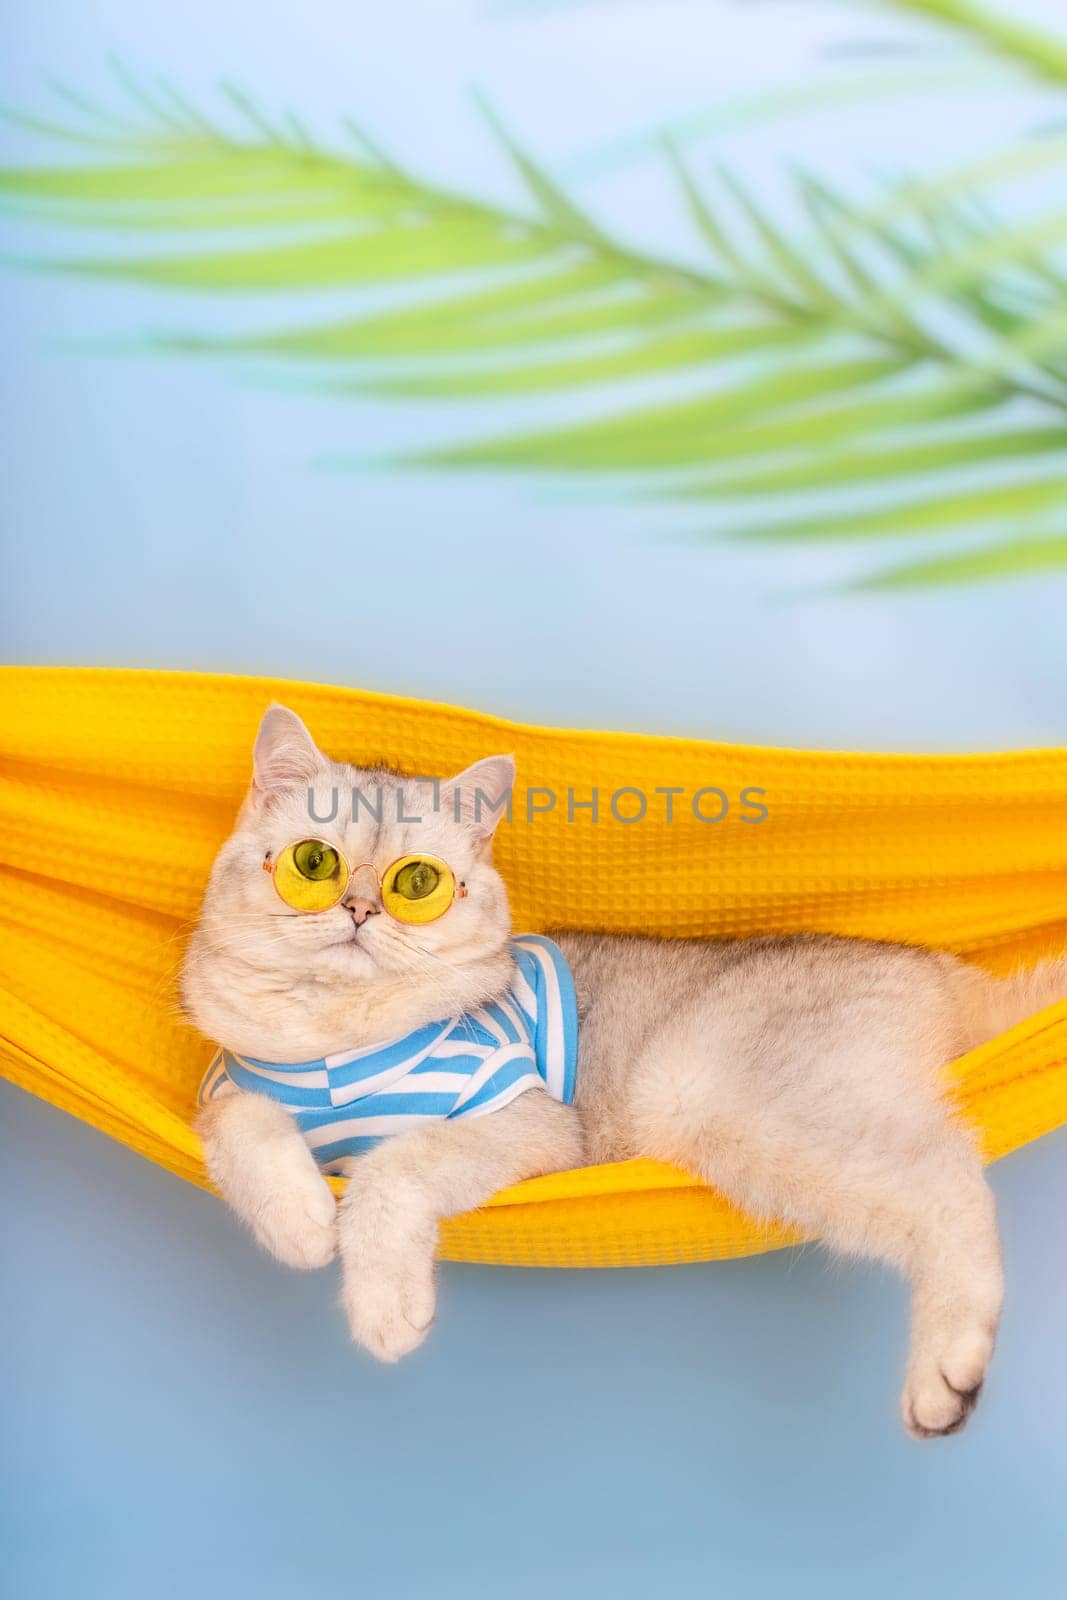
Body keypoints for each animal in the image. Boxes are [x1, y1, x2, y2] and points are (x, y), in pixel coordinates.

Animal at [183, 707, 1067, 1446]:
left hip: (720, 1097)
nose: (360, 910)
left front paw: (383, 1307)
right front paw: (299, 1221)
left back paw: (945, 1376)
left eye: (417, 883)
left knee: (948, 1181)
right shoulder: (227, 1086)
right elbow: (236, 1121)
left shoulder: (526, 1121)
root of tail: (938, 973)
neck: (332, 1037)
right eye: (314, 863)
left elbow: (390, 1169)